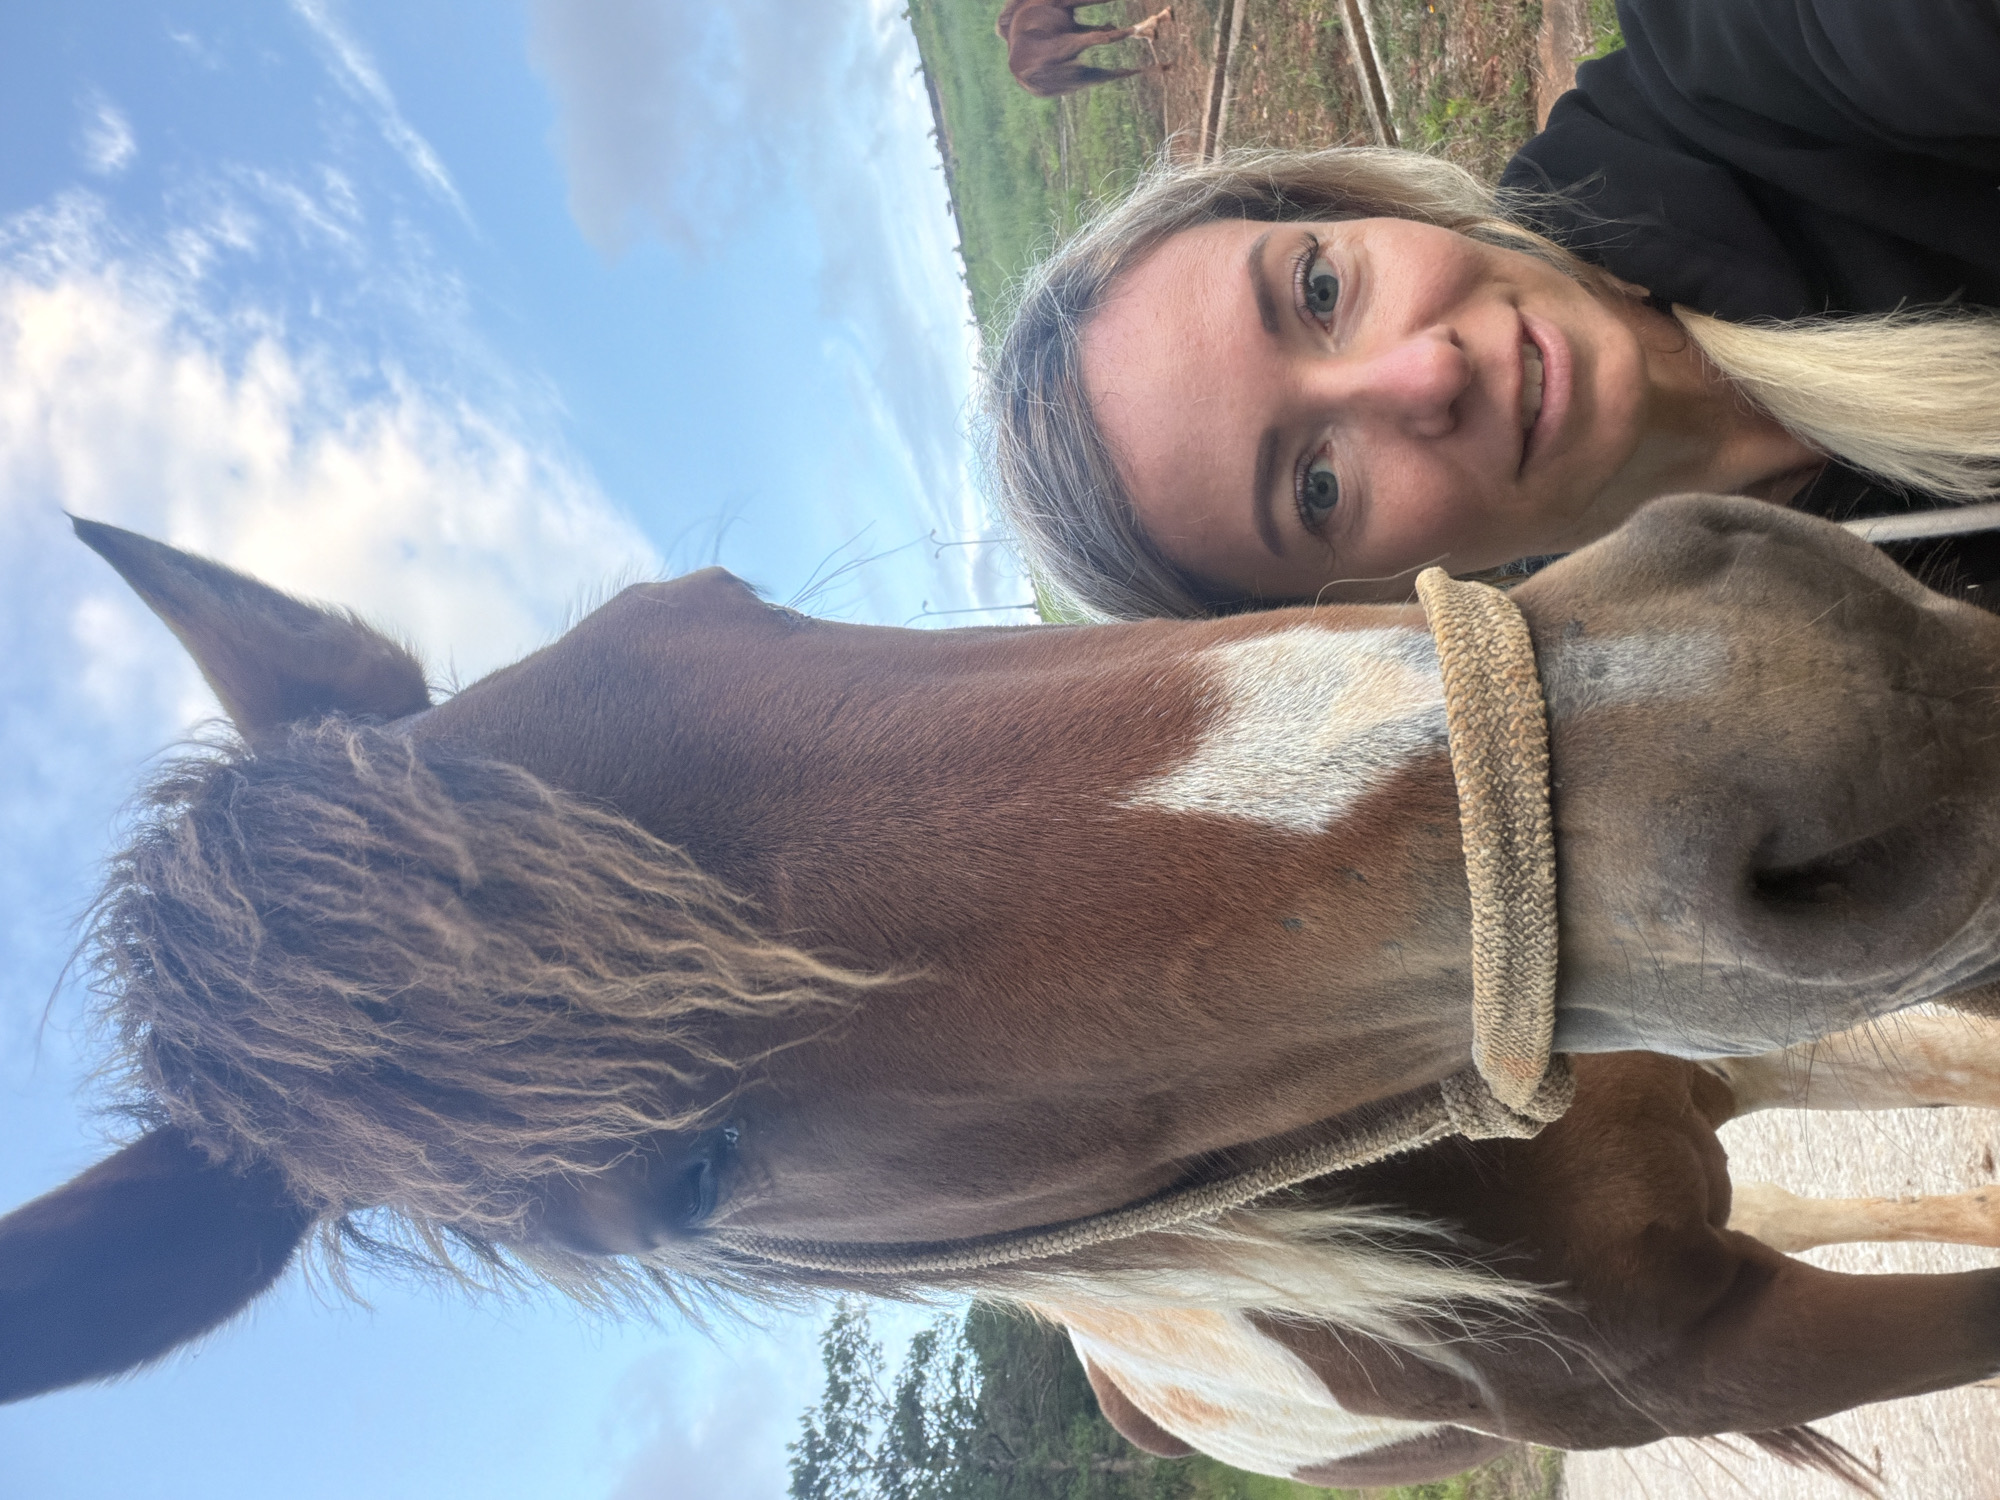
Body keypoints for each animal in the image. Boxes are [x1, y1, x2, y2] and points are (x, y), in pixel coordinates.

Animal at [996, 0, 1172, 98]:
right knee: (1106, 38)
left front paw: (1148, 34)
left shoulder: (1074, 26)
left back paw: (1163, 65)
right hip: (1072, 42)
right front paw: (1150, 31)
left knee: (1118, 73)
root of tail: (1019, 75)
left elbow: (1108, 26)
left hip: (1079, 72)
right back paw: (1159, 18)